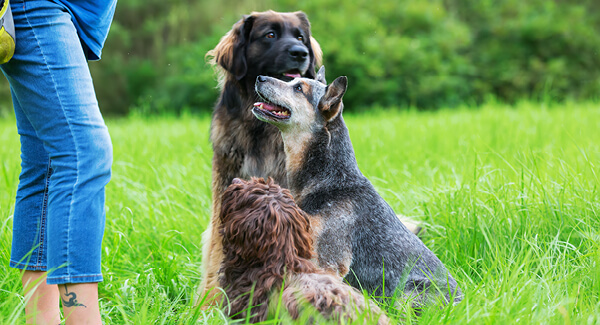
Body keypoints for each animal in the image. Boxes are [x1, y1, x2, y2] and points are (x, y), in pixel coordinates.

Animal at [251, 67, 462, 308]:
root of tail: (462, 301)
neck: (332, 179)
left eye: (298, 88)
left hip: (408, 294)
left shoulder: (329, 262)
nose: (259, 77)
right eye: (294, 81)